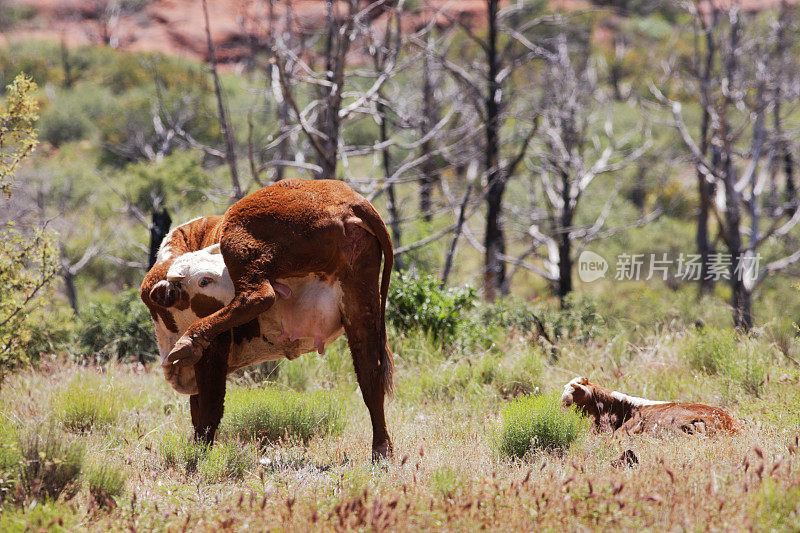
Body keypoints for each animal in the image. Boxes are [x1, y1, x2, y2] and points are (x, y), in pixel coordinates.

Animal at [143, 179, 396, 458]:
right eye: (204, 281)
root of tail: (350, 199)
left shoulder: (214, 351)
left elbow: (209, 409)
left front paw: (200, 455)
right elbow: (198, 409)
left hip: (239, 234)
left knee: (258, 296)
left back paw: (189, 340)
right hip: (360, 303)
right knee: (370, 375)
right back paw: (381, 449)